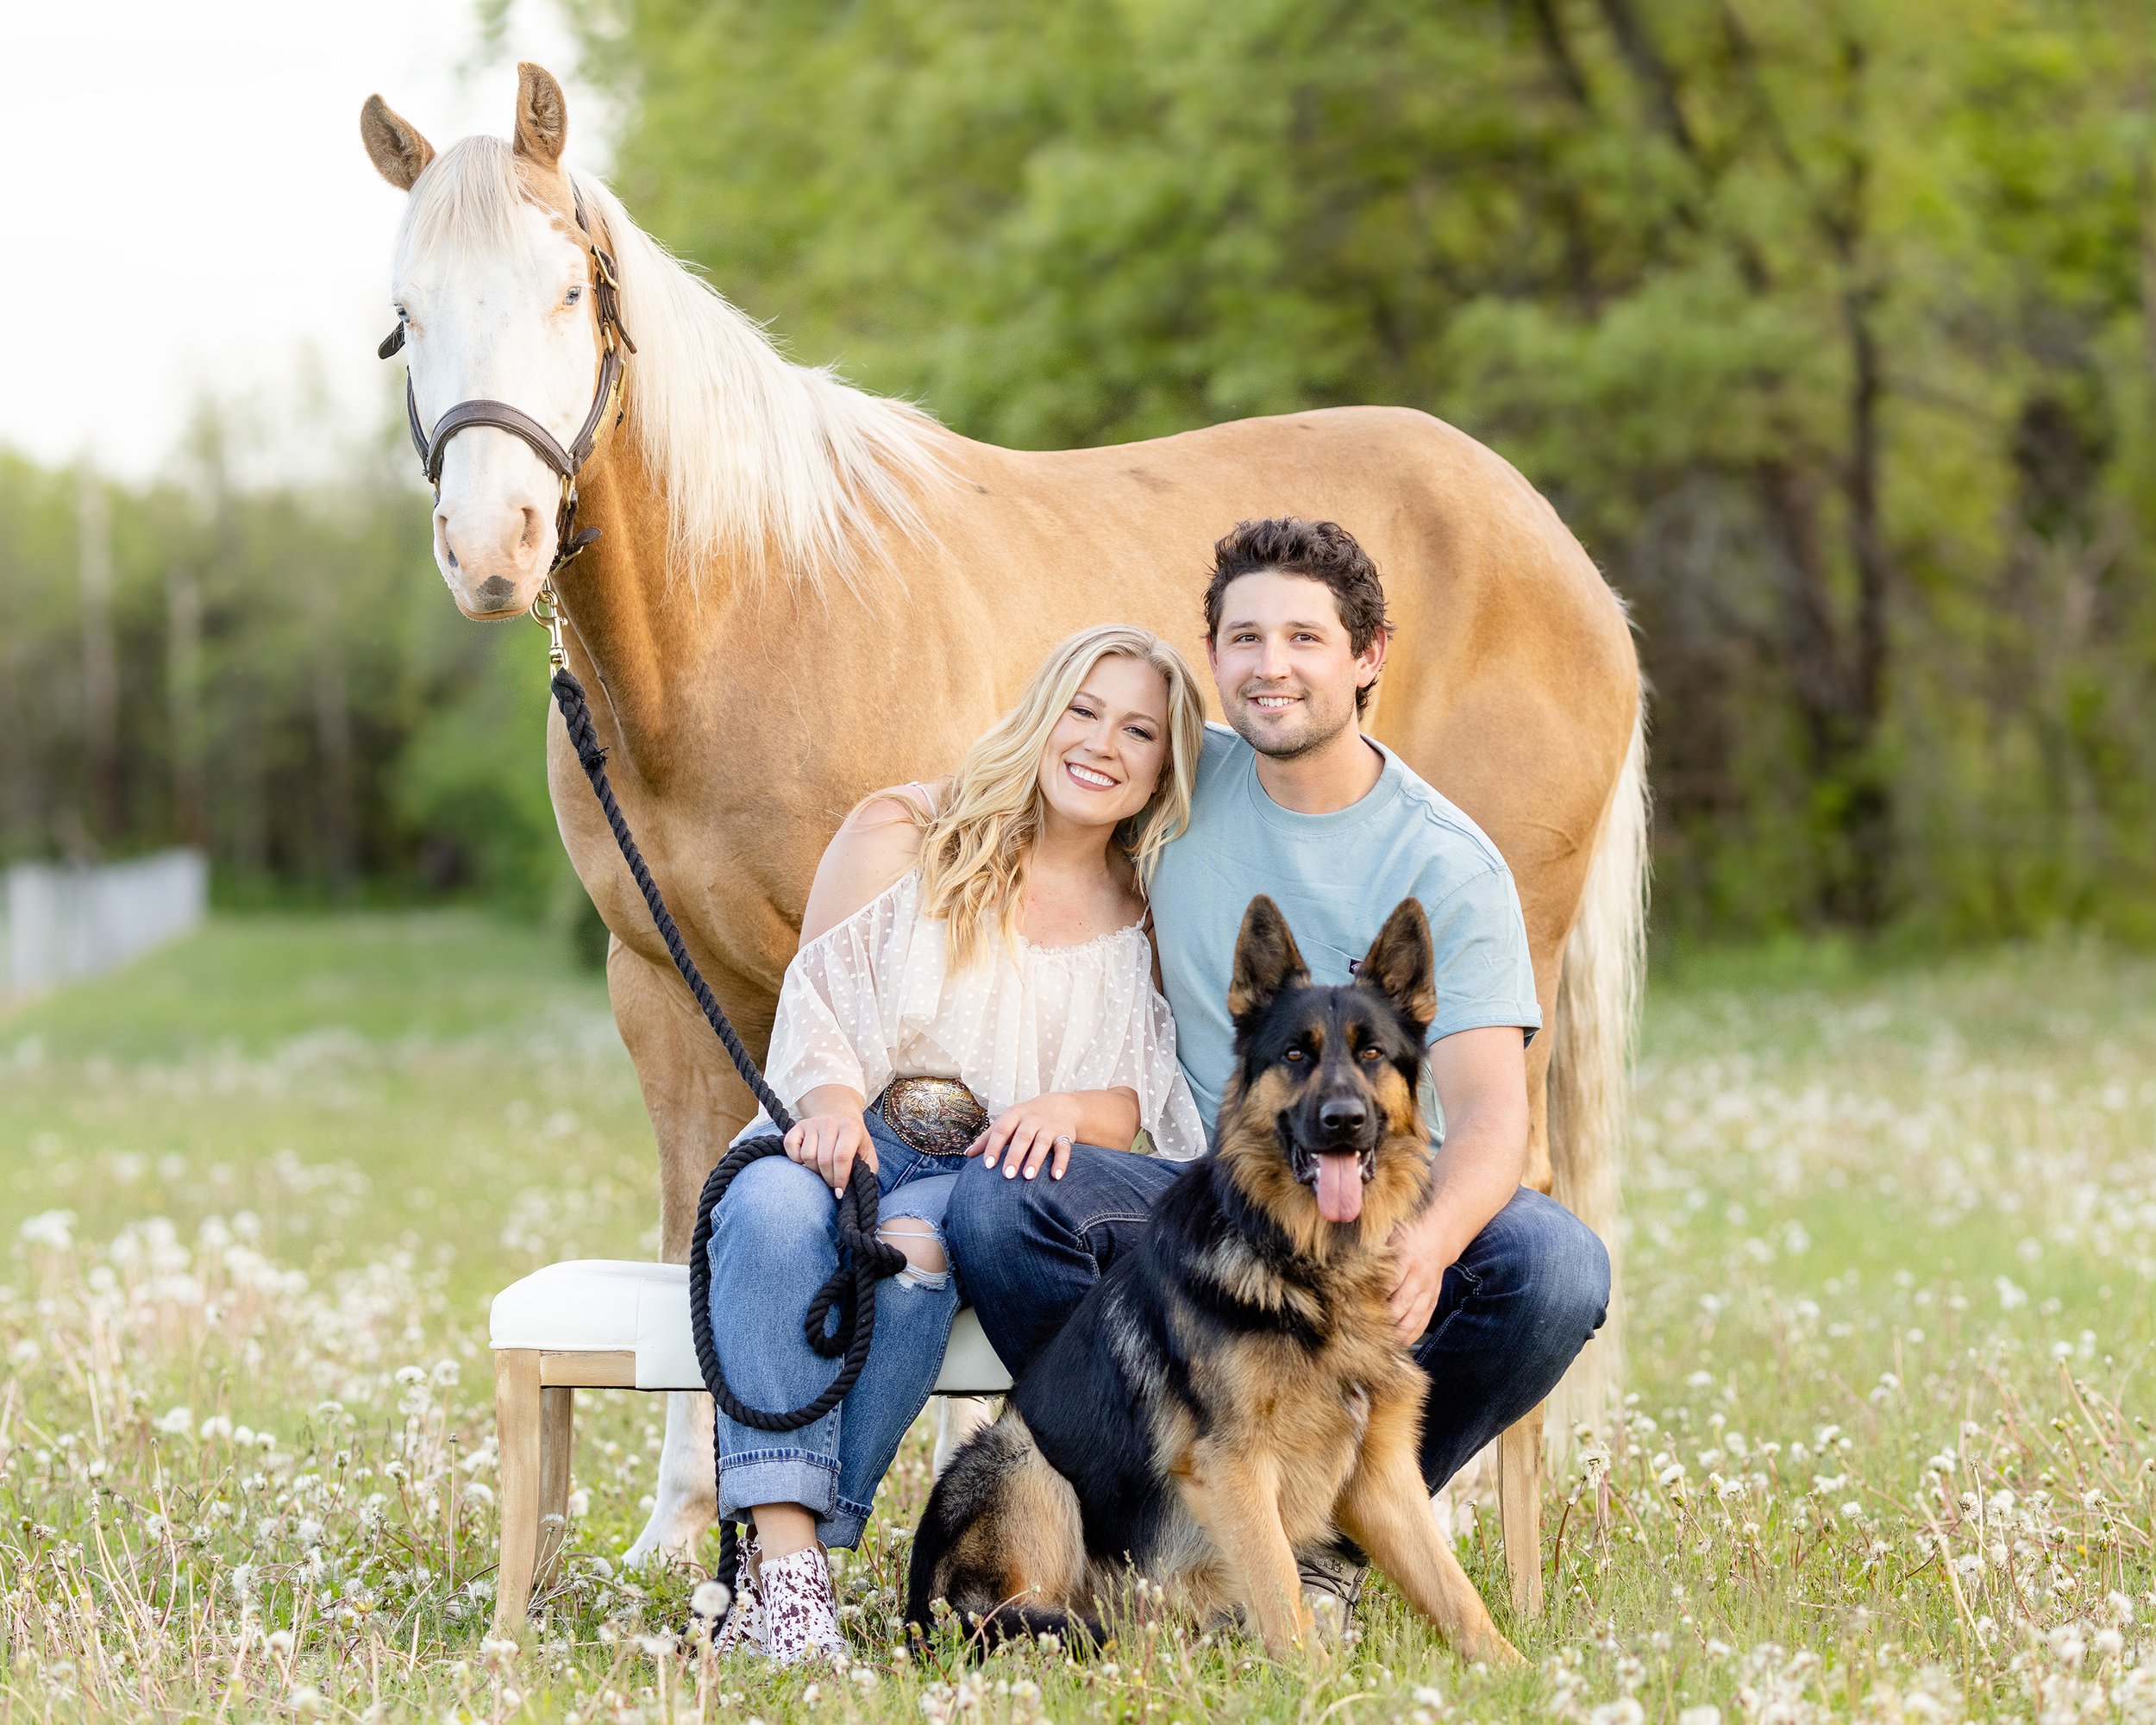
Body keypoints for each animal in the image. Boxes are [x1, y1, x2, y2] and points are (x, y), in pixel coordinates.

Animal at [367, 67, 1647, 1578]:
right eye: (405, 316)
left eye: (569, 289)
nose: (491, 548)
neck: (757, 610)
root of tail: (1553, 543)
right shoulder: (667, 988)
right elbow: (699, 1231)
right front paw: (683, 1528)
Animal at [906, 897, 1518, 1665]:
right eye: (1296, 1055)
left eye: (1372, 1053)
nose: (1343, 1122)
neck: (1305, 1266)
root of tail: (917, 1611)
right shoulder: (1235, 1470)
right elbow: (1282, 1594)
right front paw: (1318, 1680)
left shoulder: (1382, 1477)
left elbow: (1457, 1596)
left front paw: (1511, 1672)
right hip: (1026, 1461)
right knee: (1019, 1616)